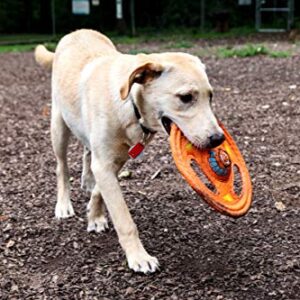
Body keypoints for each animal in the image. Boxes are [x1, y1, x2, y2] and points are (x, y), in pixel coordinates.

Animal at [34, 29, 223, 274]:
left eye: (210, 96)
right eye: (186, 97)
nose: (218, 139)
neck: (131, 104)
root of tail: (76, 32)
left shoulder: (118, 159)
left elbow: (100, 190)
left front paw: (94, 215)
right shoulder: (105, 163)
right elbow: (124, 220)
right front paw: (139, 257)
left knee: (86, 151)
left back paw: (87, 180)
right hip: (58, 126)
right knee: (61, 167)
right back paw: (64, 205)